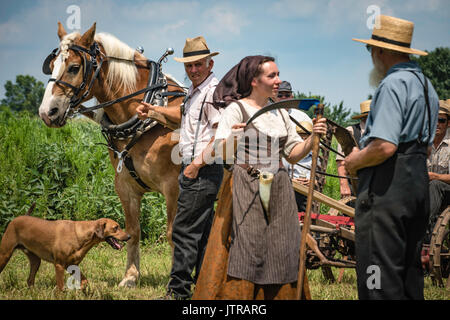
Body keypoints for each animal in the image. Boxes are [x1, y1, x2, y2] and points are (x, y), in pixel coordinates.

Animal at [0, 205, 130, 290]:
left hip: (36, 261)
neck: (81, 236)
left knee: (30, 280)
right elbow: (61, 288)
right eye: (116, 227)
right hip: (4, 255)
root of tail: (17, 218)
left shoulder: (72, 265)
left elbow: (85, 282)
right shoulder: (59, 265)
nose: (129, 236)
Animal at [38, 22, 185, 288]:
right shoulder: (125, 186)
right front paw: (130, 277)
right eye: (52, 65)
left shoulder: (173, 187)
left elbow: (173, 234)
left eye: (74, 67)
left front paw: (176, 281)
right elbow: (133, 231)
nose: (47, 112)